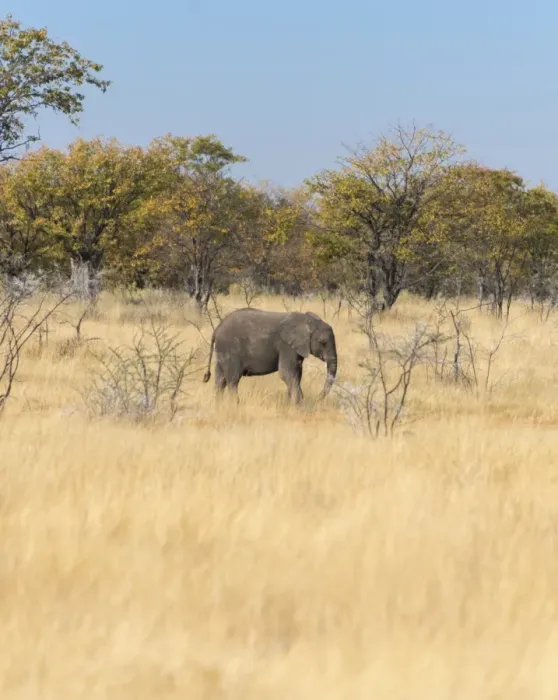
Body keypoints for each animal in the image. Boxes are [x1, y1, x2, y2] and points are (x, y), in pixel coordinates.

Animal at [202, 308, 338, 403]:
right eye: (323, 343)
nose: (317, 398)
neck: (307, 320)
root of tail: (217, 329)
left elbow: (296, 374)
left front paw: (290, 404)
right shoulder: (285, 346)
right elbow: (286, 373)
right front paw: (299, 405)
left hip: (222, 351)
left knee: (220, 380)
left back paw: (219, 405)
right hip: (230, 348)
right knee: (232, 380)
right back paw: (235, 405)